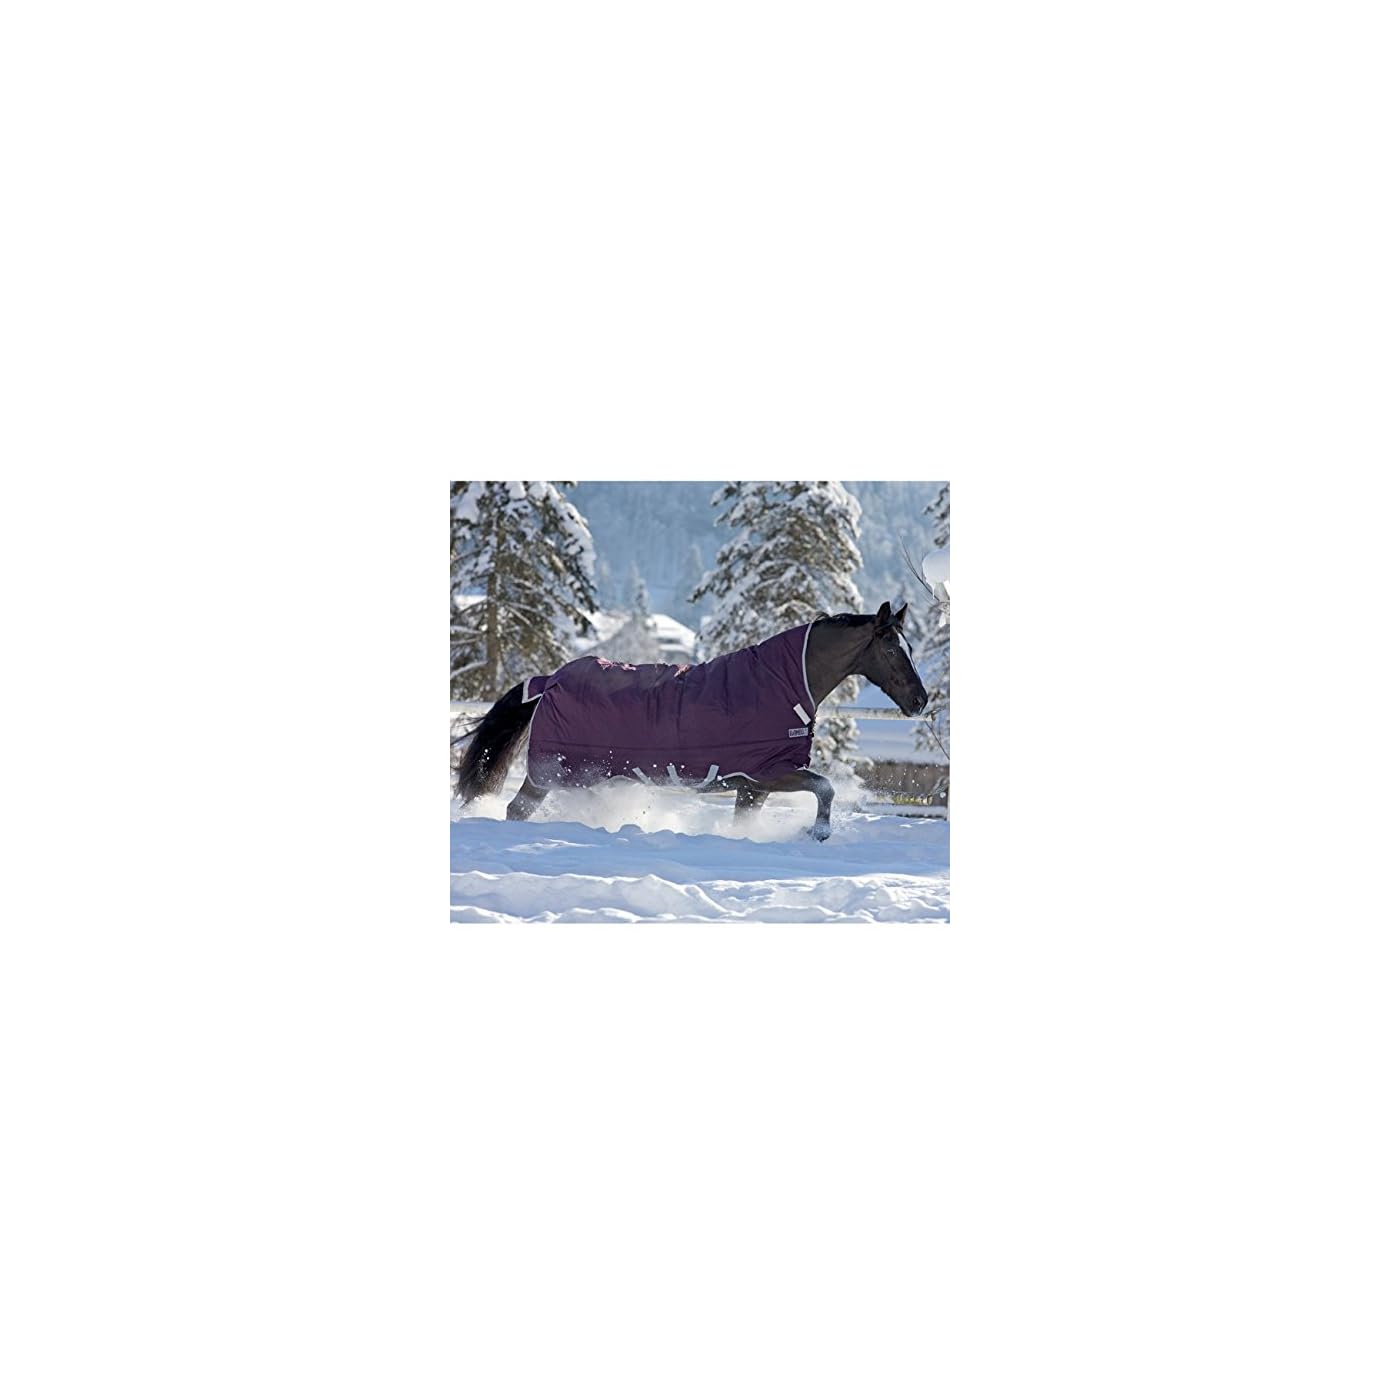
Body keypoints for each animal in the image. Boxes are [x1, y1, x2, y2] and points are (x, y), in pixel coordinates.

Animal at [453, 601, 927, 841]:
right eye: (891, 649)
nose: (920, 701)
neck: (785, 683)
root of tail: (550, 680)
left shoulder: (753, 788)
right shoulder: (771, 772)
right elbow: (825, 787)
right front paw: (819, 832)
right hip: (549, 773)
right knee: (516, 810)